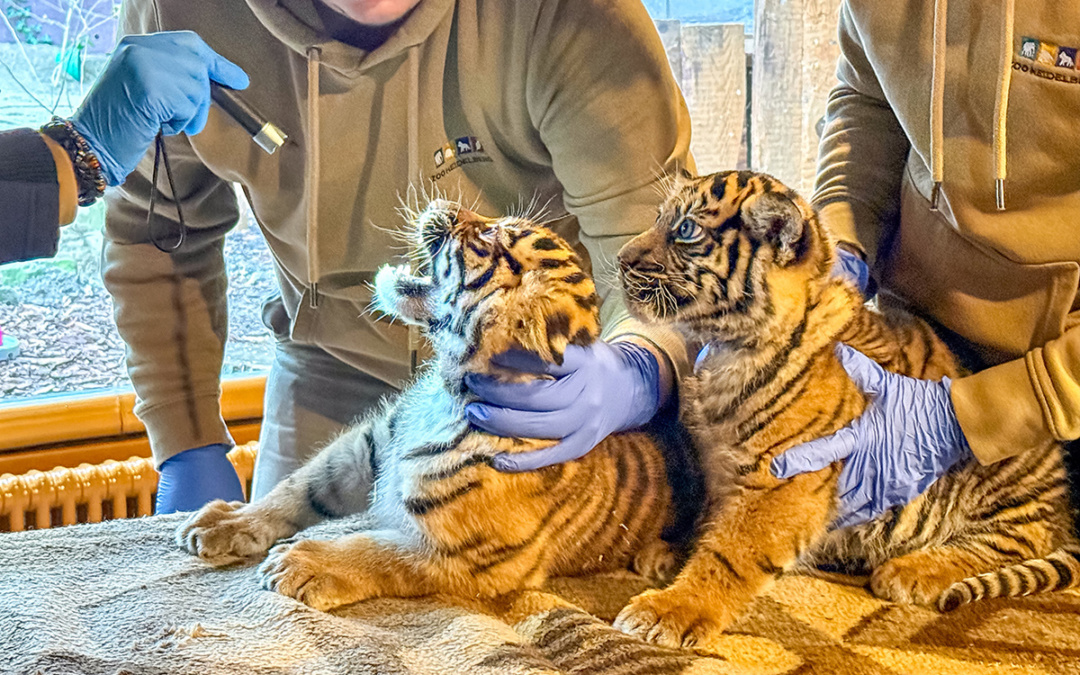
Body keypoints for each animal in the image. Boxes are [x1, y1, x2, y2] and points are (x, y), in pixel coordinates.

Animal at [175, 199, 683, 611]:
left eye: (491, 238)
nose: (447, 205)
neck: (449, 390)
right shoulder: (367, 447)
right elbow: (298, 487)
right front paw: (227, 521)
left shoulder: (469, 558)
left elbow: (380, 552)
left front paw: (305, 563)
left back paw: (659, 561)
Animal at [611, 169, 1080, 649]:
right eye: (659, 218)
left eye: (686, 229)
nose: (622, 258)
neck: (730, 346)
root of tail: (1063, 505)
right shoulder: (721, 469)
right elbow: (709, 519)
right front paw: (672, 553)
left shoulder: (784, 482)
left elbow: (731, 553)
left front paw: (670, 609)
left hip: (1004, 472)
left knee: (1013, 541)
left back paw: (912, 571)